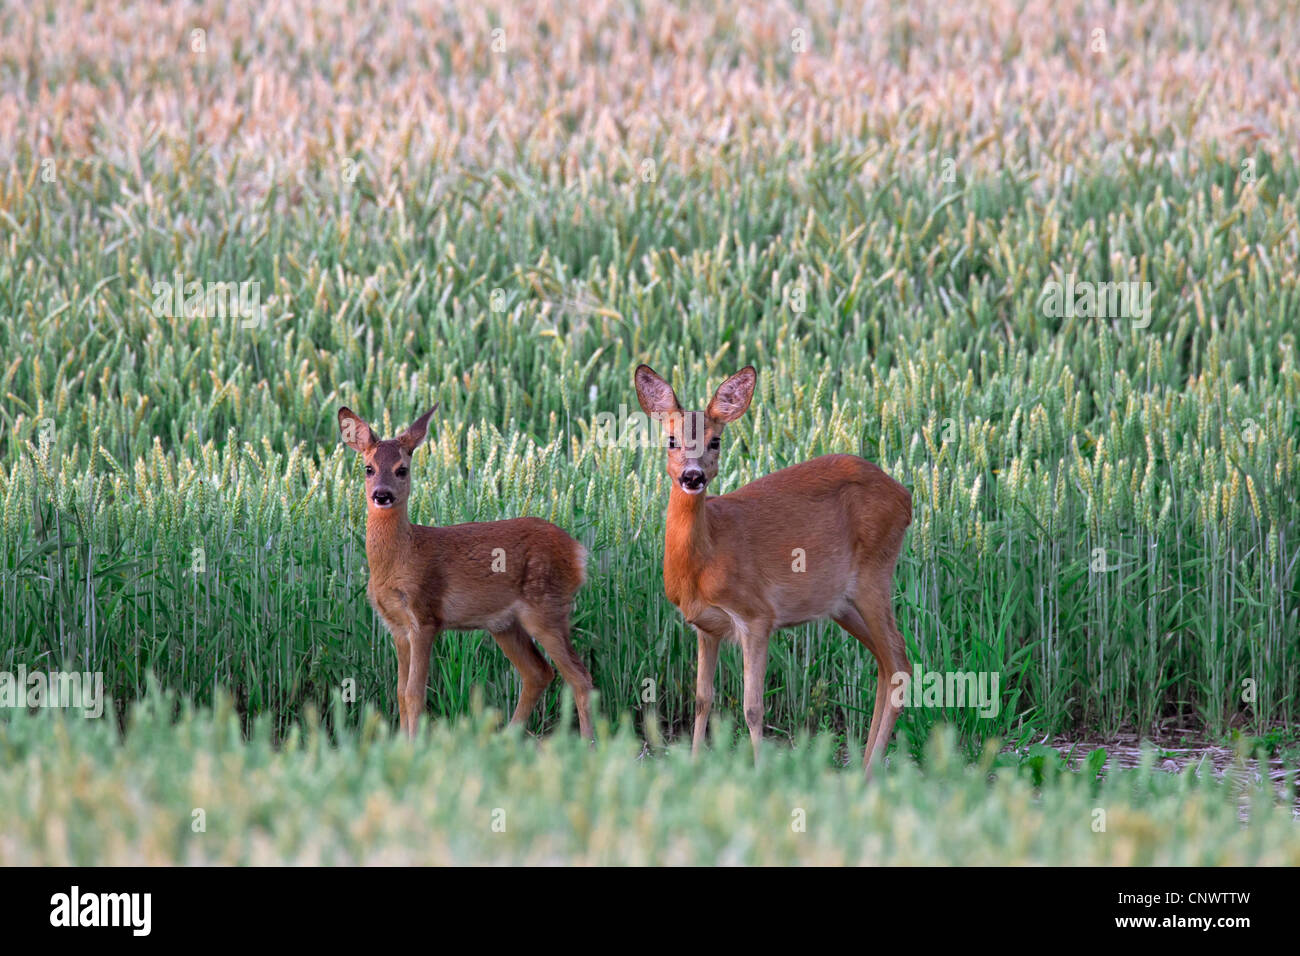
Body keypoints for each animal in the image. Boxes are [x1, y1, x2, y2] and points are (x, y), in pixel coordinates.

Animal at [338, 403, 595, 738]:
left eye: (401, 469)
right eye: (368, 468)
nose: (382, 495)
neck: (400, 558)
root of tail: (578, 552)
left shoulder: (425, 616)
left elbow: (414, 693)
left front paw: (414, 743)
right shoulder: (396, 626)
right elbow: (400, 693)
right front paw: (402, 742)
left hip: (546, 609)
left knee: (580, 678)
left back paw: (588, 742)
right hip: (504, 624)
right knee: (539, 672)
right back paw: (507, 737)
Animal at [634, 366, 909, 780]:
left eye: (715, 441)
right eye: (671, 440)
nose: (693, 476)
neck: (705, 557)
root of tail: (907, 499)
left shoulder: (756, 616)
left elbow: (752, 706)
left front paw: (761, 771)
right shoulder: (706, 627)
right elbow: (702, 699)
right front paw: (694, 768)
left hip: (875, 575)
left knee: (898, 661)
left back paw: (868, 771)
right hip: (842, 603)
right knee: (884, 661)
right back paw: (862, 764)